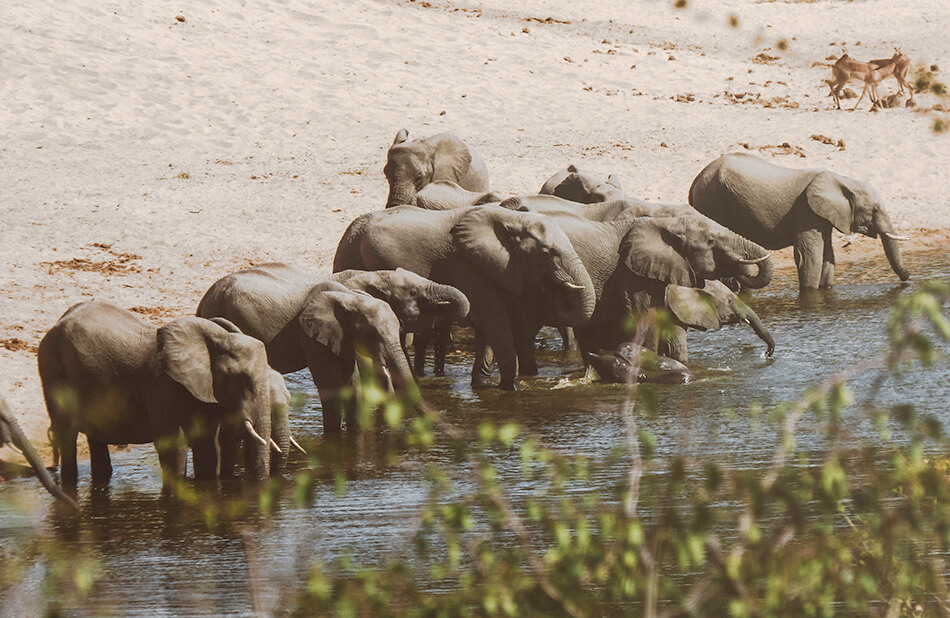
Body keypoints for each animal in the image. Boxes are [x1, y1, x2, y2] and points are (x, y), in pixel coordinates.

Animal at [37, 302, 276, 486]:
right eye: (240, 379)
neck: (216, 339)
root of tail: (57, 324)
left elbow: (207, 447)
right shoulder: (162, 385)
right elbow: (174, 445)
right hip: (52, 368)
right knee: (67, 434)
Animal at [197, 274, 412, 434]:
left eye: (399, 327)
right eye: (371, 334)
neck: (349, 297)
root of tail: (202, 301)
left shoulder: (340, 336)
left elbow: (351, 382)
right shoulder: (310, 335)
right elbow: (329, 383)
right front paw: (333, 436)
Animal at [332, 205, 596, 388]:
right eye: (546, 252)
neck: (512, 219)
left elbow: (488, 330)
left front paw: (481, 385)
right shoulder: (469, 268)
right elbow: (494, 323)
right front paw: (510, 388)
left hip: (347, 254)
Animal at [688, 153, 912, 290]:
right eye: (874, 210)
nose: (909, 277)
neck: (841, 180)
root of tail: (694, 182)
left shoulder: (822, 217)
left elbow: (828, 256)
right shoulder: (806, 214)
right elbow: (810, 257)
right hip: (713, 203)